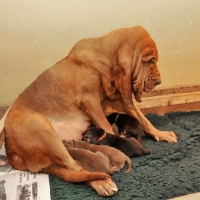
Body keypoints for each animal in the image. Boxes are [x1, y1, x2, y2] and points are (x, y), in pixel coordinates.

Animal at [1, 25, 177, 197]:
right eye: (150, 60)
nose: (159, 81)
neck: (106, 60)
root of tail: (10, 150)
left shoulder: (121, 98)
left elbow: (144, 120)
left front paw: (161, 134)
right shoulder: (90, 101)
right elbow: (106, 126)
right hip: (43, 125)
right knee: (76, 168)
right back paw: (101, 182)